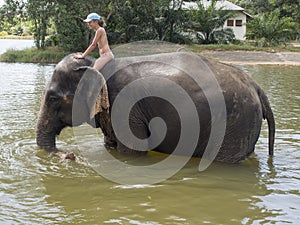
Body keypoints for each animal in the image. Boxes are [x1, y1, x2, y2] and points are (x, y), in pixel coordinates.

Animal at [36, 51, 276, 163]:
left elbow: (132, 153)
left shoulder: (126, 107)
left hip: (234, 124)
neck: (96, 65)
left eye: (53, 98)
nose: (69, 155)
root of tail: (256, 87)